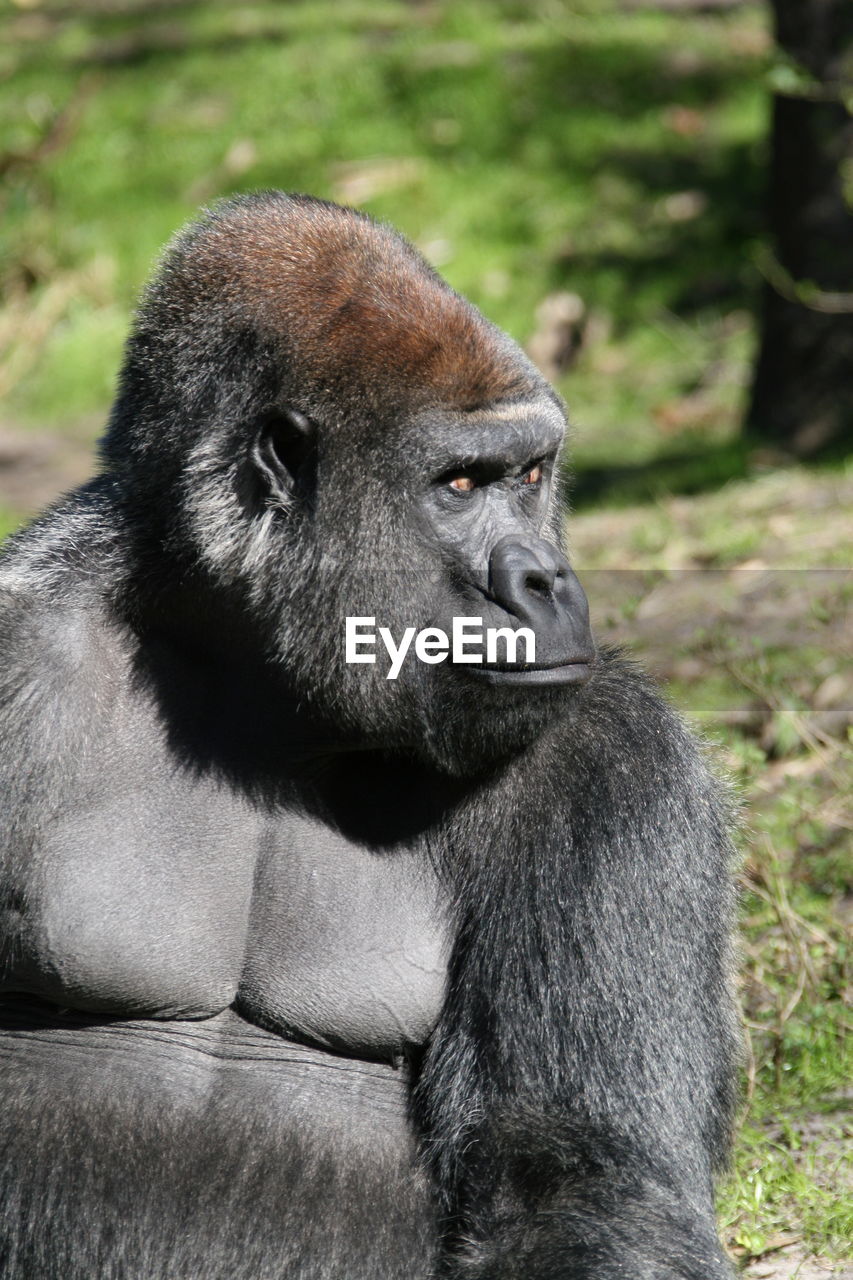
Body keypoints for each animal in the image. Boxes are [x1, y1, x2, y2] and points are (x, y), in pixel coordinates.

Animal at [0, 192, 732, 1280]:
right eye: (460, 485)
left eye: (530, 474)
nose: (546, 579)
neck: (263, 684)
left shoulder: (614, 759)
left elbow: (578, 1175)